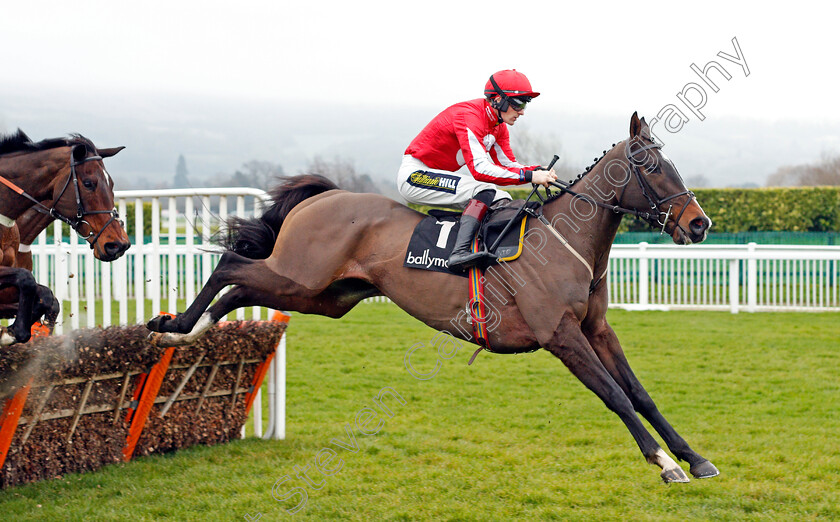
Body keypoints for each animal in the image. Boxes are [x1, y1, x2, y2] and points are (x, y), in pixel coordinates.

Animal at [0, 128, 130, 344]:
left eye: (111, 183)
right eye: (89, 183)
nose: (118, 244)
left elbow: (48, 298)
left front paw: (13, 331)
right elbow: (27, 279)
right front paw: (14, 331)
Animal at [148, 112, 720, 480]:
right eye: (652, 168)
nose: (700, 224)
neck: (567, 241)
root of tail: (326, 196)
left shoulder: (597, 330)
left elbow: (640, 393)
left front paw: (694, 458)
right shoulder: (560, 335)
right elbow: (615, 396)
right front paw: (664, 464)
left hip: (325, 296)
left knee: (241, 286)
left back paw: (188, 331)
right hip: (300, 276)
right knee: (232, 265)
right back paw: (173, 325)